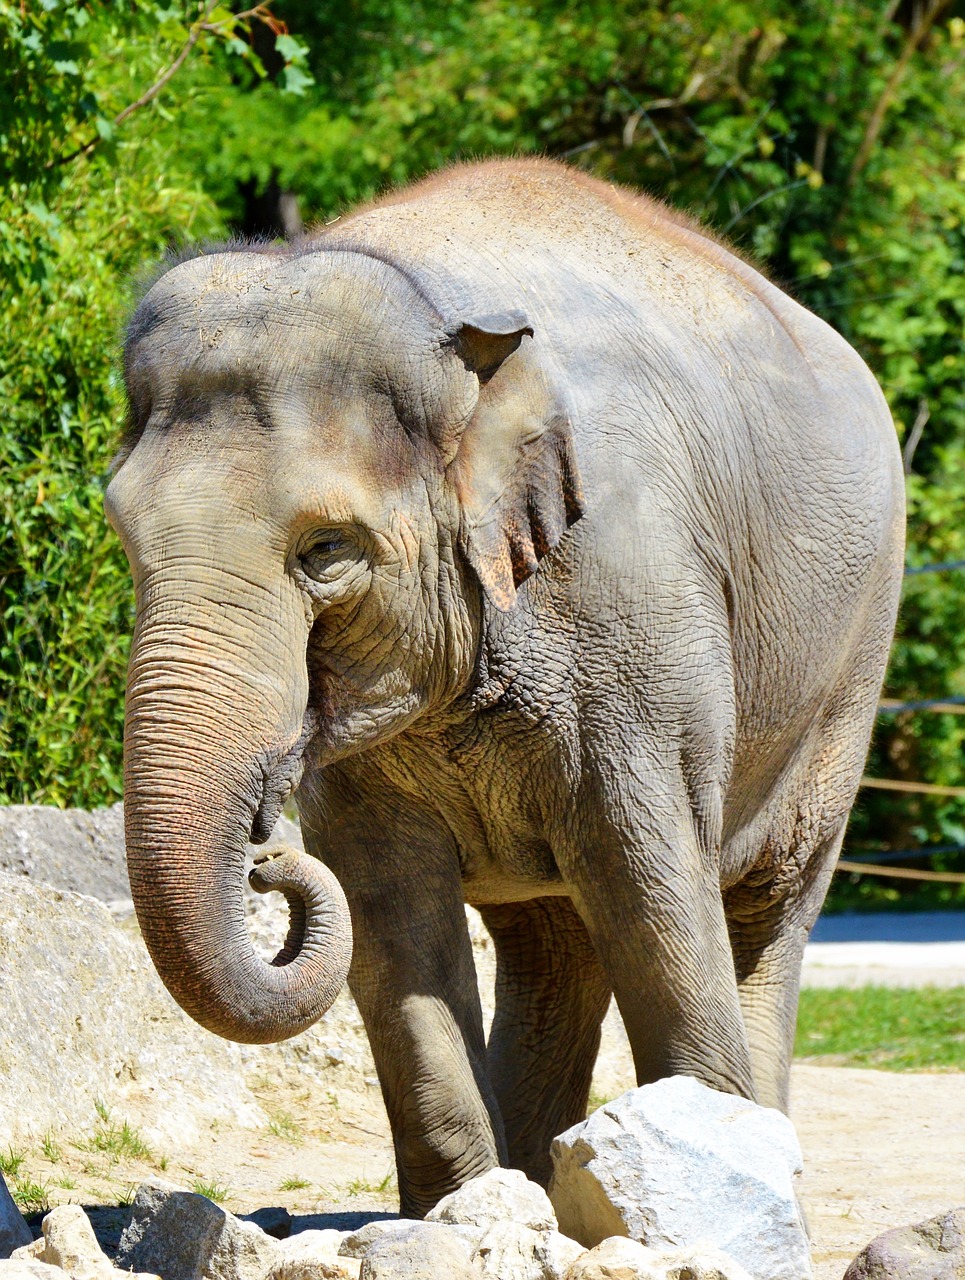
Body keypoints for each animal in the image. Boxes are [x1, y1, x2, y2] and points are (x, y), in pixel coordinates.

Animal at [104, 154, 901, 1213]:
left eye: (326, 552)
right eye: (122, 533)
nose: (266, 860)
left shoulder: (635, 609)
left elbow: (651, 884)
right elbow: (388, 914)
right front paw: (465, 1215)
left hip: (853, 658)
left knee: (763, 908)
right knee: (552, 942)